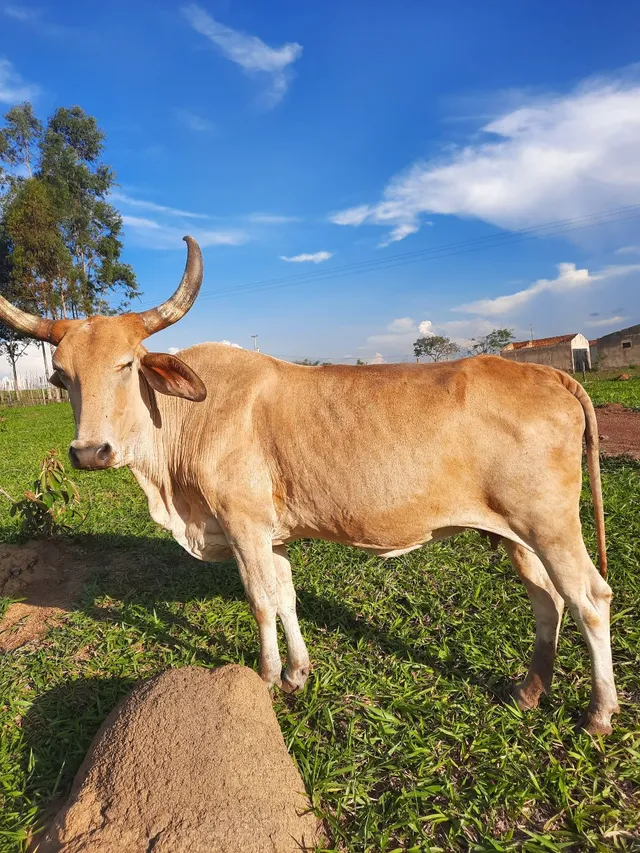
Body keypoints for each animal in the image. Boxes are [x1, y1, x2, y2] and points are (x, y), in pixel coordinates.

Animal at [0, 237, 618, 735]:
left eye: (127, 364)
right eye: (60, 375)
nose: (90, 452)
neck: (187, 420)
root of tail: (547, 371)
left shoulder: (244, 525)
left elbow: (259, 601)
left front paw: (268, 678)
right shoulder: (272, 535)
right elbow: (286, 596)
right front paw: (298, 672)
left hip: (552, 525)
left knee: (589, 598)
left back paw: (599, 712)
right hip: (516, 534)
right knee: (547, 599)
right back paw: (530, 690)